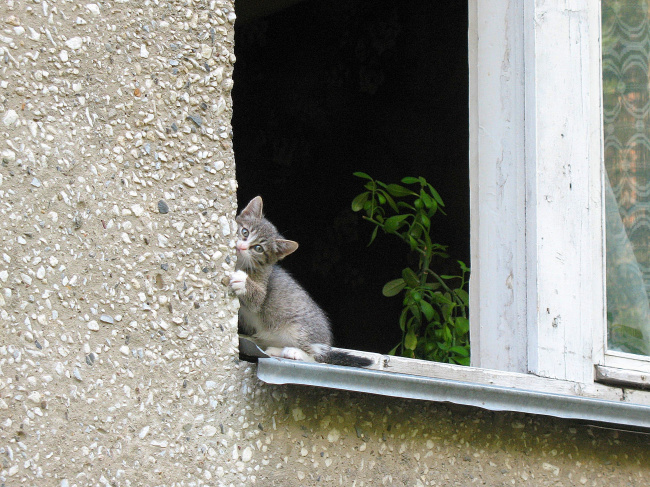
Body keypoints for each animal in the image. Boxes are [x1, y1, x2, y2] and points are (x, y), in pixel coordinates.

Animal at [228, 196, 370, 368]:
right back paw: (276, 350)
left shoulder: (262, 285)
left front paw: (242, 280)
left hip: (299, 330)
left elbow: (257, 300)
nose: (241, 247)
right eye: (245, 232)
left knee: (319, 359)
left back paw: (295, 353)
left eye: (258, 248)